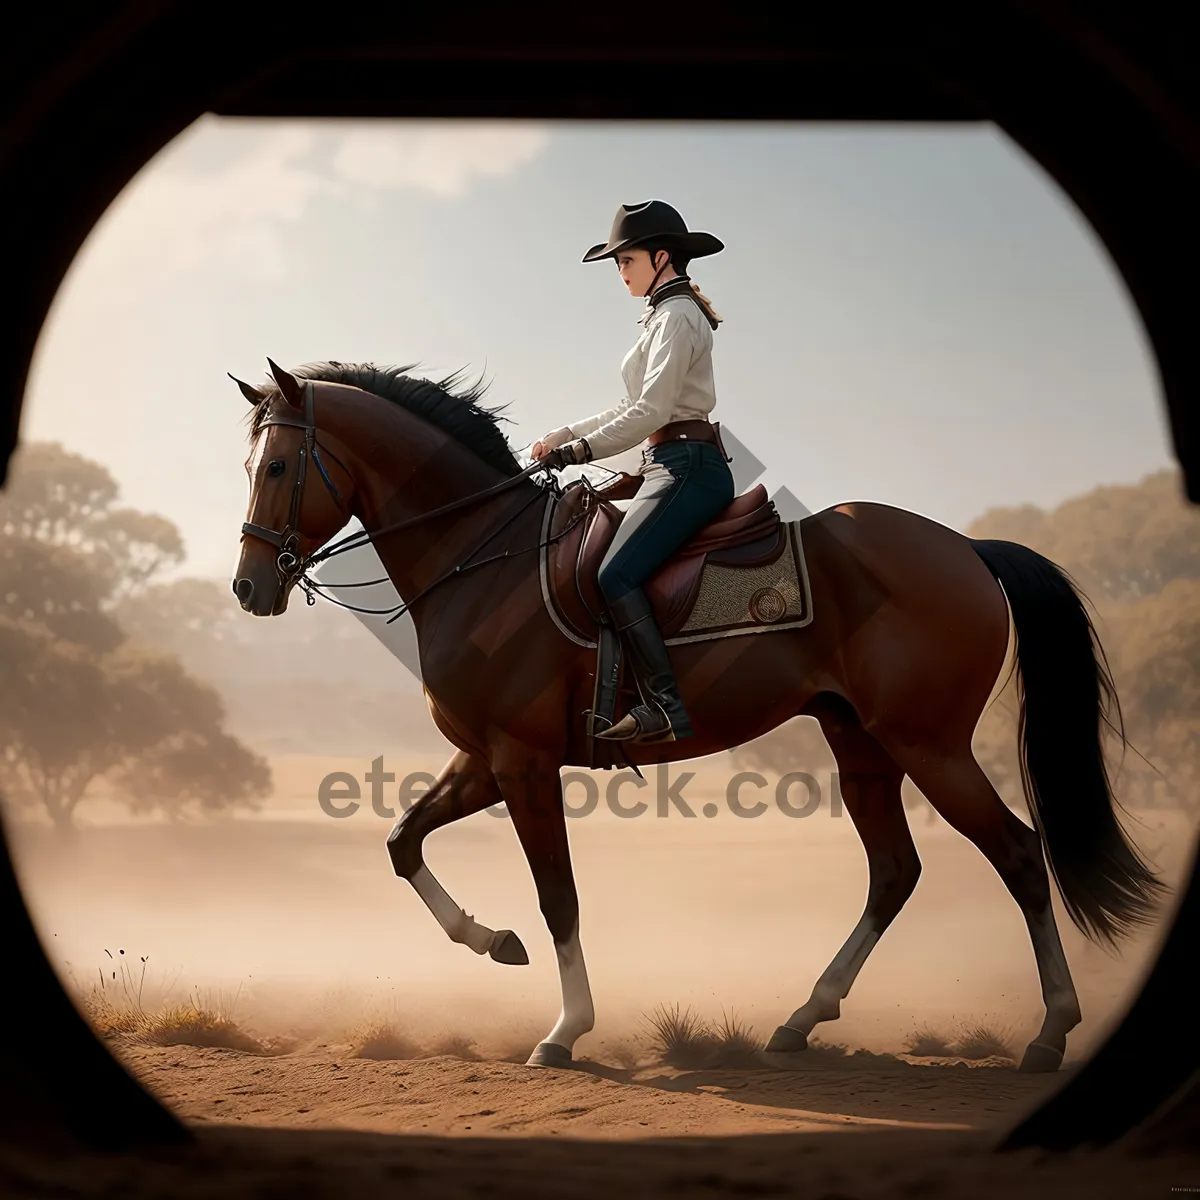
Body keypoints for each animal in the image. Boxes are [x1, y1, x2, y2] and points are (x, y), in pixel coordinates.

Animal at [226, 360, 1161, 1075]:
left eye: (277, 469)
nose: (247, 587)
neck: (484, 557)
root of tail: (966, 548)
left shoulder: (522, 761)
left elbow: (557, 895)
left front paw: (565, 1031)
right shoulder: (487, 758)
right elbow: (402, 842)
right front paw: (494, 943)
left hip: (929, 746)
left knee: (1018, 855)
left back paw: (1049, 1032)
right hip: (860, 744)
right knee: (895, 872)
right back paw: (801, 1019)